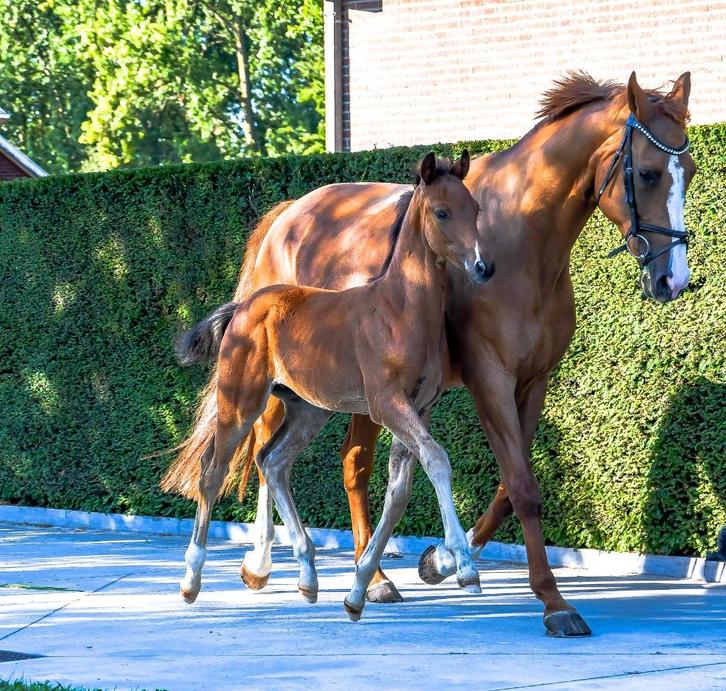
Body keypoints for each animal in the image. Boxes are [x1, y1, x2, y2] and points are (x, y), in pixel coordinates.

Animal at [172, 152, 495, 619]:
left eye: (475, 209)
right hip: (241, 401)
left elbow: (399, 492)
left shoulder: (419, 407)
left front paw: (360, 590)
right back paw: (192, 580)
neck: (400, 310)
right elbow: (437, 460)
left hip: (309, 409)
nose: (483, 267)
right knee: (213, 470)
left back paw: (307, 576)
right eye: (441, 212)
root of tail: (242, 307)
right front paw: (465, 568)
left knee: (273, 462)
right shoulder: (385, 404)